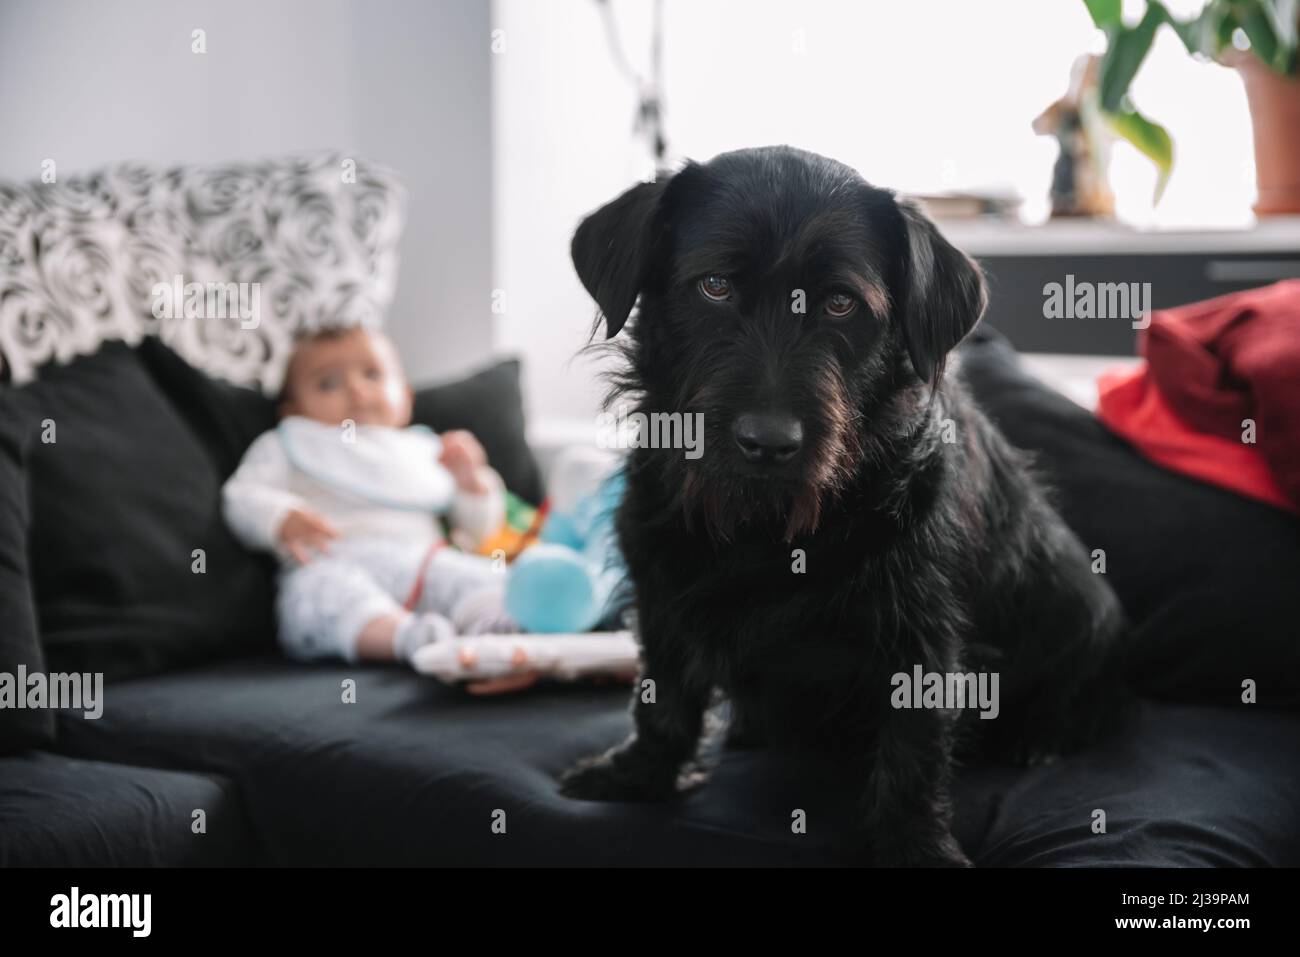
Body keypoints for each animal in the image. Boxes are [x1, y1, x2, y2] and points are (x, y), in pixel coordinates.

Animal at [559, 143, 1128, 868]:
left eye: (838, 303)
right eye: (714, 286)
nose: (768, 442)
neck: (770, 525)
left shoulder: (920, 633)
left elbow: (912, 750)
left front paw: (914, 847)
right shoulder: (660, 583)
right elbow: (661, 695)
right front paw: (641, 774)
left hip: (1087, 616)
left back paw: (1040, 737)